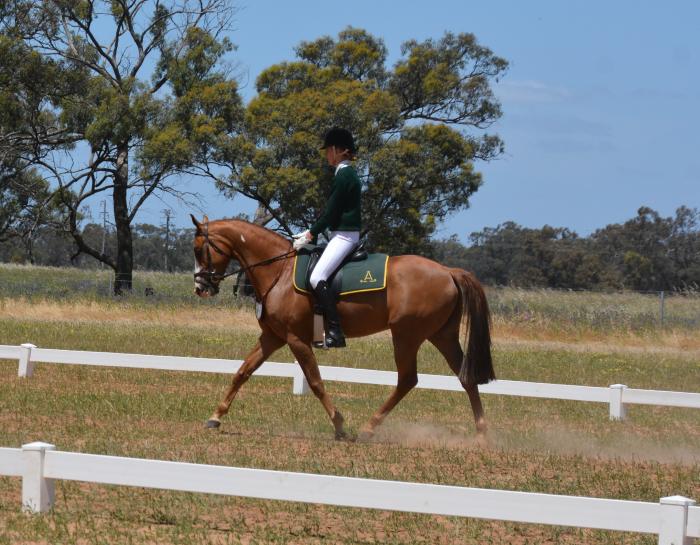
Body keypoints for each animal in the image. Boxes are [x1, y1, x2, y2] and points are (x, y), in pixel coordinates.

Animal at [191, 216, 495, 440]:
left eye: (197, 249)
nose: (200, 288)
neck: (279, 270)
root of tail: (448, 272)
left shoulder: (295, 339)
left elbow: (315, 381)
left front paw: (339, 425)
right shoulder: (273, 336)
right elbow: (242, 372)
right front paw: (215, 417)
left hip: (406, 335)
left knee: (408, 379)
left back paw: (368, 429)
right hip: (441, 335)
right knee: (465, 376)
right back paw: (481, 434)